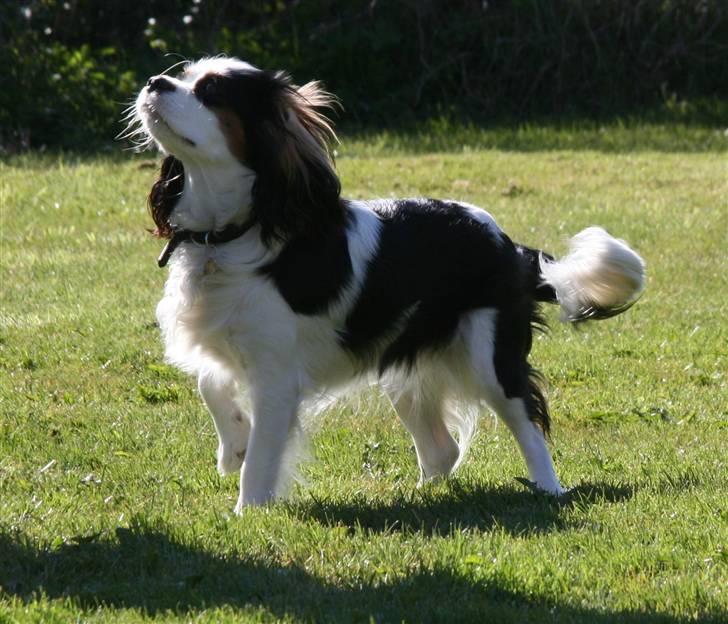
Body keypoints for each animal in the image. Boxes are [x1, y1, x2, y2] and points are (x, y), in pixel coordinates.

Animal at [128, 56, 644, 512]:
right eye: (181, 74)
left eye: (211, 91)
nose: (154, 80)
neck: (229, 233)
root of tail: (510, 246)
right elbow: (210, 384)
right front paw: (231, 445)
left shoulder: (277, 377)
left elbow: (263, 454)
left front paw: (248, 510)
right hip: (404, 370)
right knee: (442, 451)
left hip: (489, 359)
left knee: (527, 423)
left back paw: (549, 490)